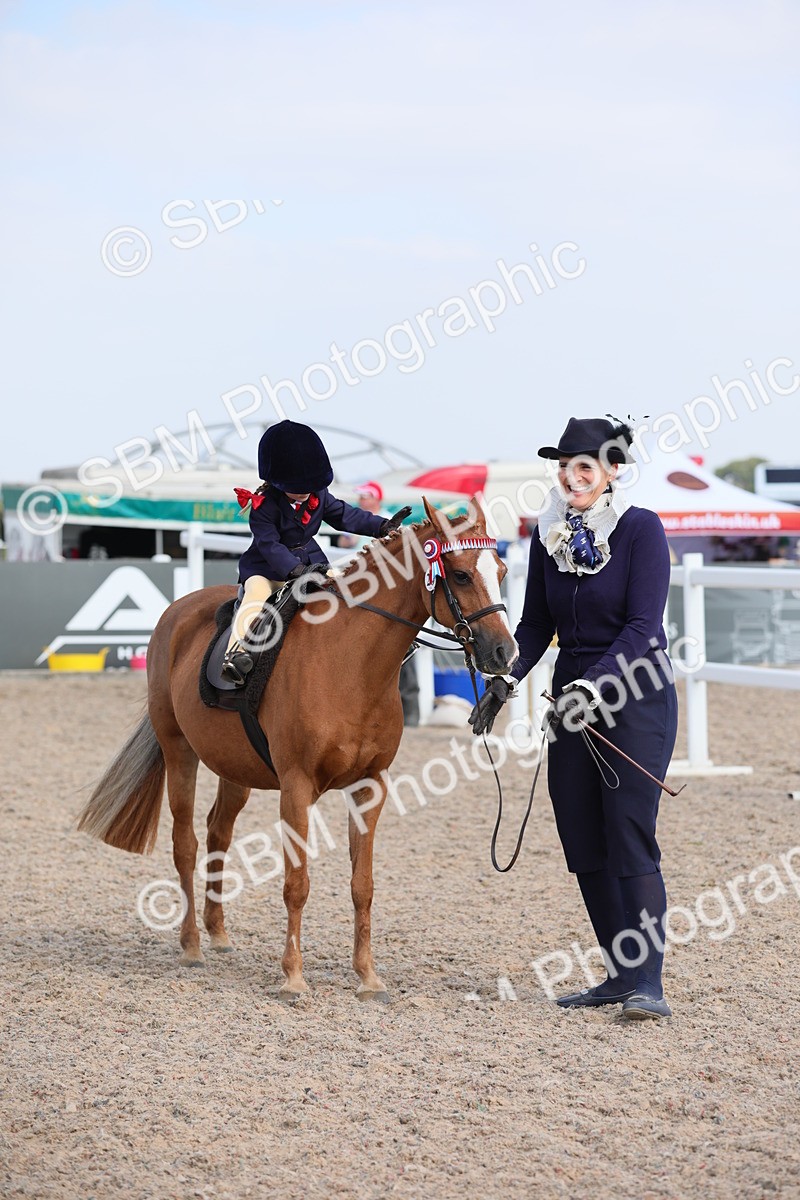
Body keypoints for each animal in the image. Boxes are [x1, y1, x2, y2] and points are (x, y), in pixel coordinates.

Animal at [77, 497, 518, 1001]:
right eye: (460, 575)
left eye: (502, 570)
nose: (505, 653)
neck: (350, 663)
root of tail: (178, 612)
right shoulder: (297, 787)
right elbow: (296, 883)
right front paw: (292, 976)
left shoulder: (371, 787)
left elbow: (362, 885)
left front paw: (368, 977)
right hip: (179, 752)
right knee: (185, 843)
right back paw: (191, 945)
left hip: (235, 769)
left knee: (217, 833)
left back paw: (218, 933)